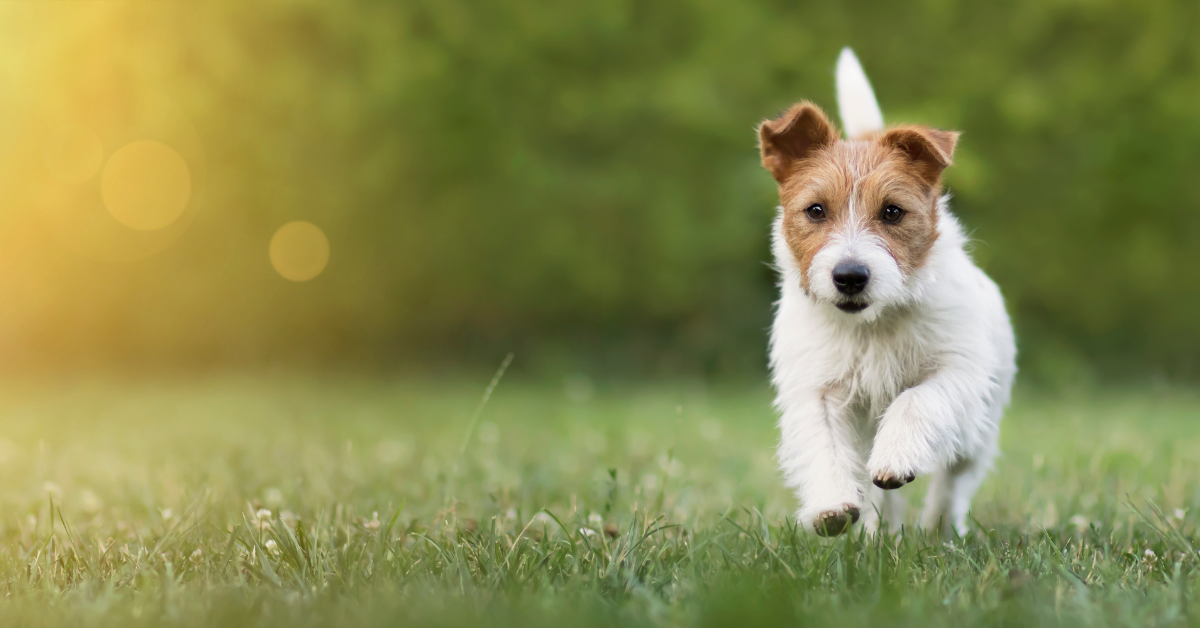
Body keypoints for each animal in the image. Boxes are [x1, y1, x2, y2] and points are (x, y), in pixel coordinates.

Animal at [758, 49, 1012, 537]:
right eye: (815, 210)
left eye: (892, 212)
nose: (850, 276)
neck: (872, 323)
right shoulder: (817, 388)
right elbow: (824, 443)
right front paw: (832, 506)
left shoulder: (956, 372)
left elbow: (915, 400)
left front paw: (896, 457)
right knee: (880, 495)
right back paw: (881, 534)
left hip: (981, 427)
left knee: (956, 478)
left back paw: (939, 528)